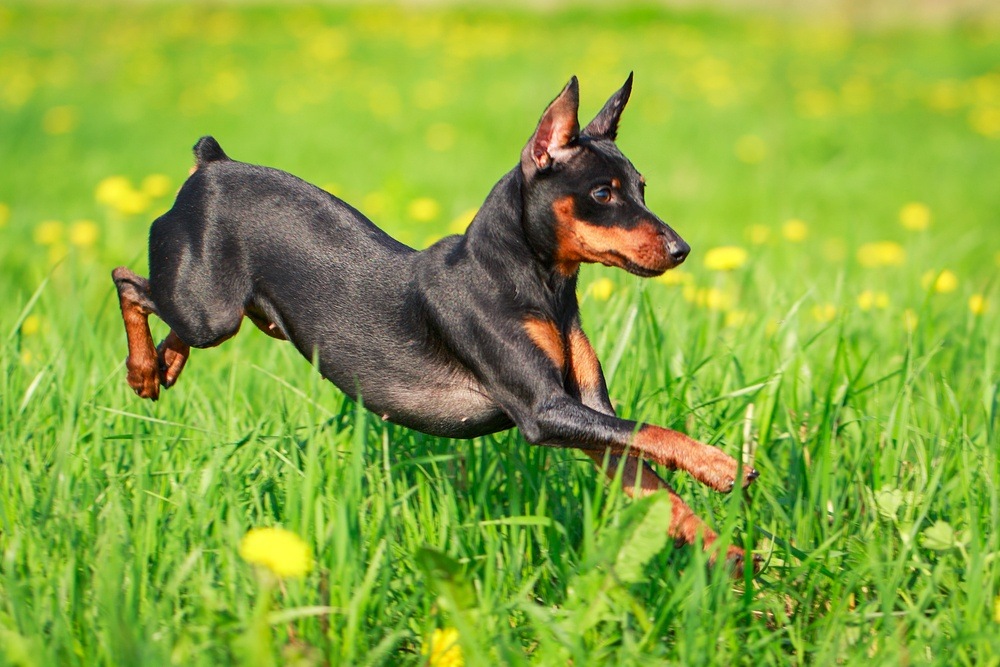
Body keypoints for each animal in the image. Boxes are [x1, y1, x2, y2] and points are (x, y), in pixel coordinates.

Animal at [111, 75, 756, 572]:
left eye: (642, 189)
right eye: (602, 193)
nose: (681, 250)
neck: (537, 285)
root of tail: (210, 165)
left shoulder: (591, 415)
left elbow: (656, 481)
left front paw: (728, 552)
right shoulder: (546, 411)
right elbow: (656, 433)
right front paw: (722, 465)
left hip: (231, 310)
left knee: (167, 311)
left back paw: (165, 364)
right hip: (210, 312)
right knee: (128, 281)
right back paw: (143, 370)